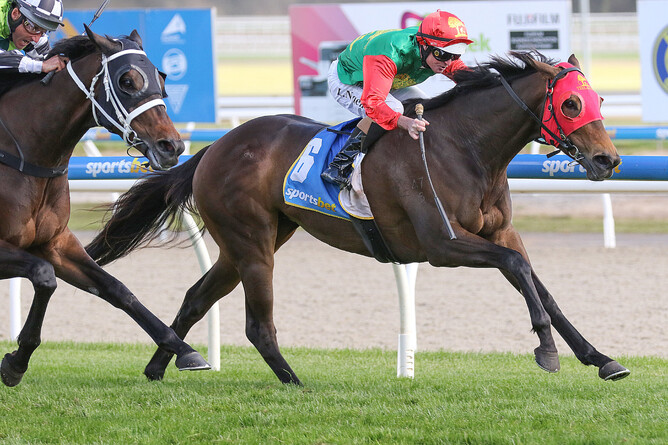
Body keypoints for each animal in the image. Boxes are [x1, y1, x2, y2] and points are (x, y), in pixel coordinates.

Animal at [0, 27, 211, 387]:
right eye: (127, 80)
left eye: (162, 77)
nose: (171, 146)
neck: (26, 155)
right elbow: (44, 276)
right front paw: (16, 362)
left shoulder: (56, 243)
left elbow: (117, 289)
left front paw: (184, 350)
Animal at [86, 52, 630, 384]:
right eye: (572, 103)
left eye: (600, 100)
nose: (608, 160)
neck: (467, 147)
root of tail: (213, 147)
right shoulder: (442, 244)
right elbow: (518, 271)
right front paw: (547, 350)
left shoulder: (501, 231)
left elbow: (540, 286)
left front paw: (600, 358)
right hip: (252, 243)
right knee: (257, 324)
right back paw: (295, 383)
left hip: (250, 241)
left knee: (197, 297)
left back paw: (162, 367)